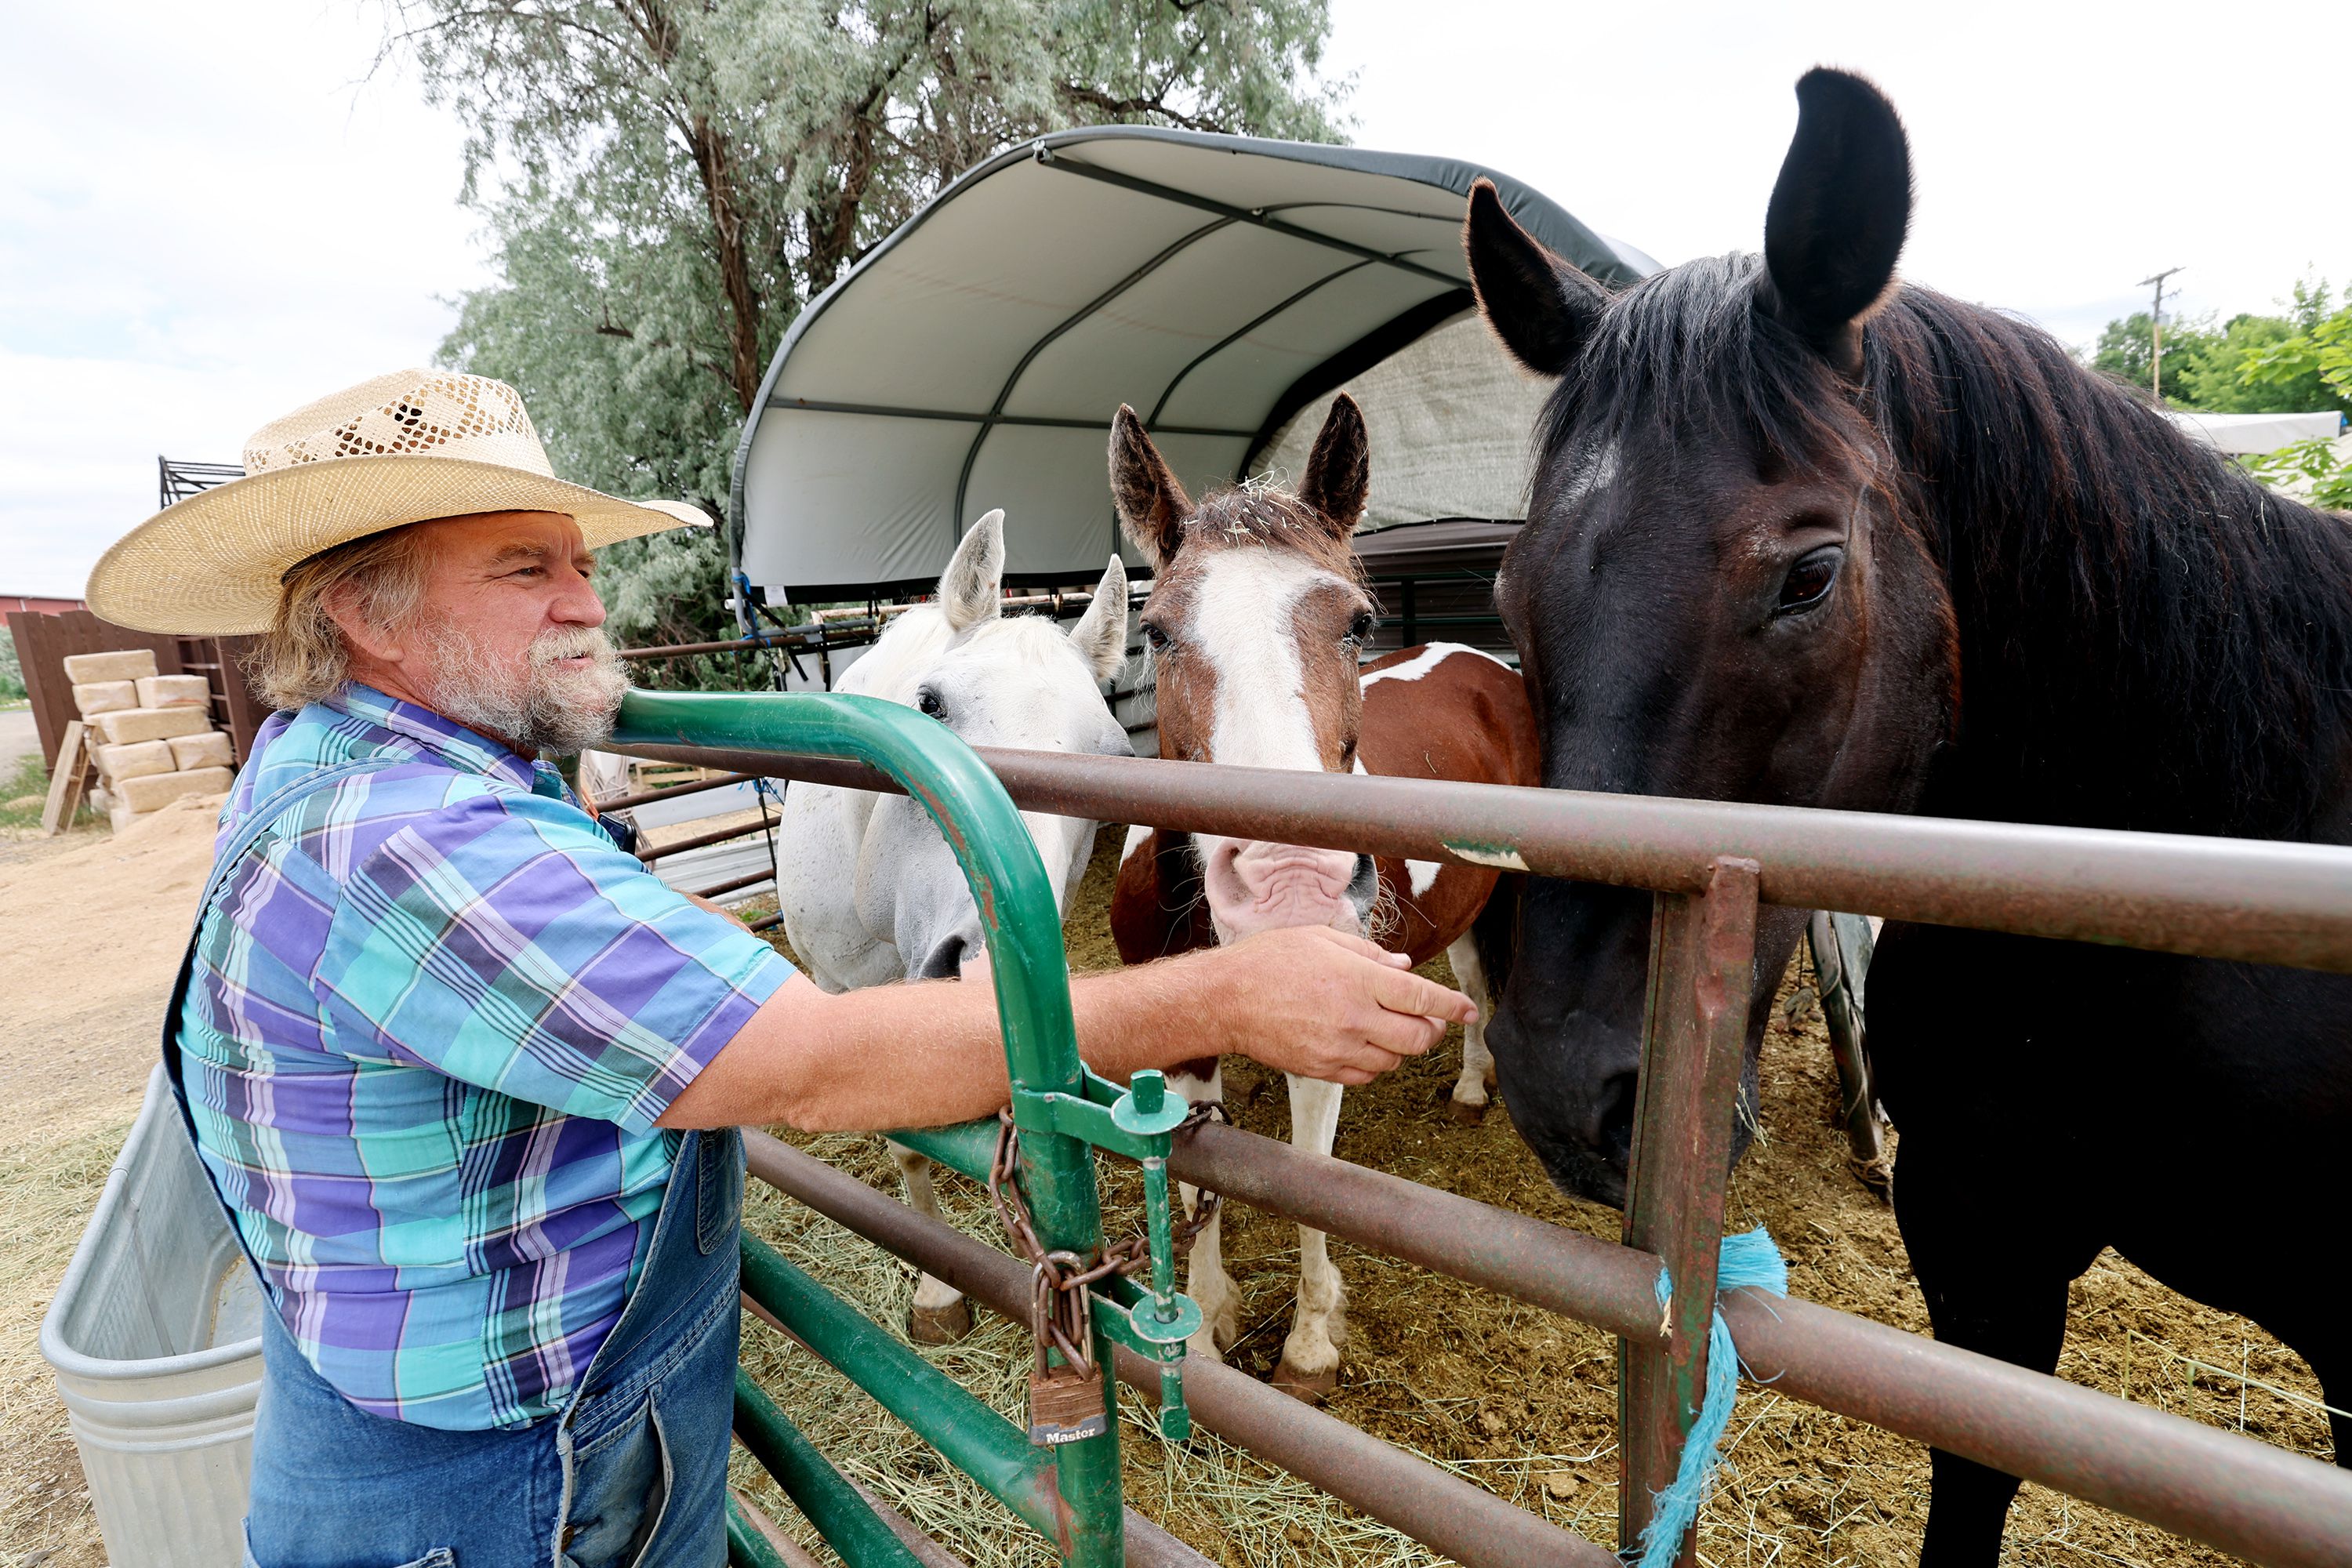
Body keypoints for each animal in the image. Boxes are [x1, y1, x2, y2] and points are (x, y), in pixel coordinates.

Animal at [775, 507, 1131, 1340]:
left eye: (1114, 758)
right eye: (929, 705)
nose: (980, 983)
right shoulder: (841, 992)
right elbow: (905, 1144)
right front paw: (938, 1293)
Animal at [1107, 396, 1541, 1399]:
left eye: (1355, 621)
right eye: (1158, 632)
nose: (1287, 887)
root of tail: (1482, 661)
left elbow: (1308, 1175)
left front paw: (1308, 1341)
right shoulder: (1182, 1044)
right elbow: (1203, 1175)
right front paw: (1202, 1326)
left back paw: (1476, 1084)